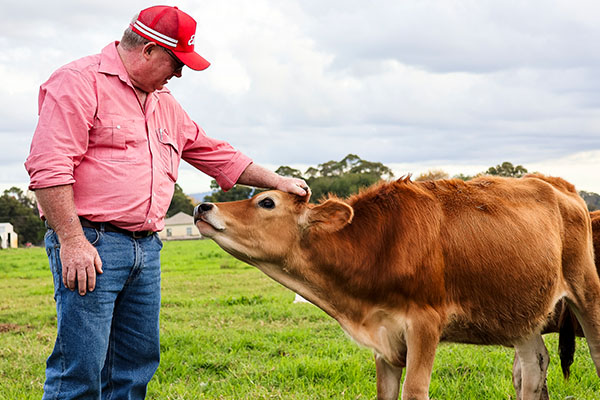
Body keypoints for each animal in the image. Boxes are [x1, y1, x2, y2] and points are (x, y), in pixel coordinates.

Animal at [195, 175, 596, 400]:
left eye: (267, 201)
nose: (203, 206)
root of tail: (559, 186)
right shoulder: (384, 338)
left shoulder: (425, 324)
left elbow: (414, 392)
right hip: (520, 312)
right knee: (532, 369)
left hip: (586, 292)